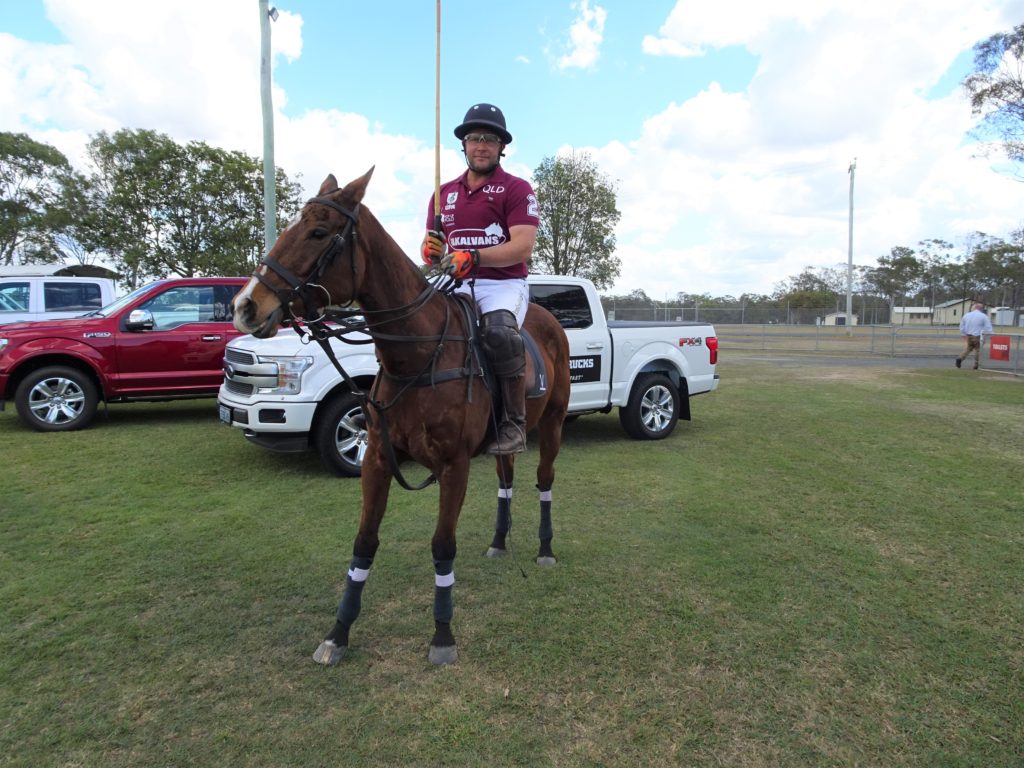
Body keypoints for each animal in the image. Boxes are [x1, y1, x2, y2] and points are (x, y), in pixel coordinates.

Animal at [230, 169, 569, 667]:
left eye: (318, 233)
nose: (245, 307)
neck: (417, 354)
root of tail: (550, 318)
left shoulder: (454, 465)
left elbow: (442, 545)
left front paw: (443, 636)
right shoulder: (377, 460)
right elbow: (364, 542)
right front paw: (338, 633)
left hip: (553, 421)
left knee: (544, 479)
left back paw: (545, 548)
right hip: (508, 436)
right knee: (506, 475)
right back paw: (498, 541)